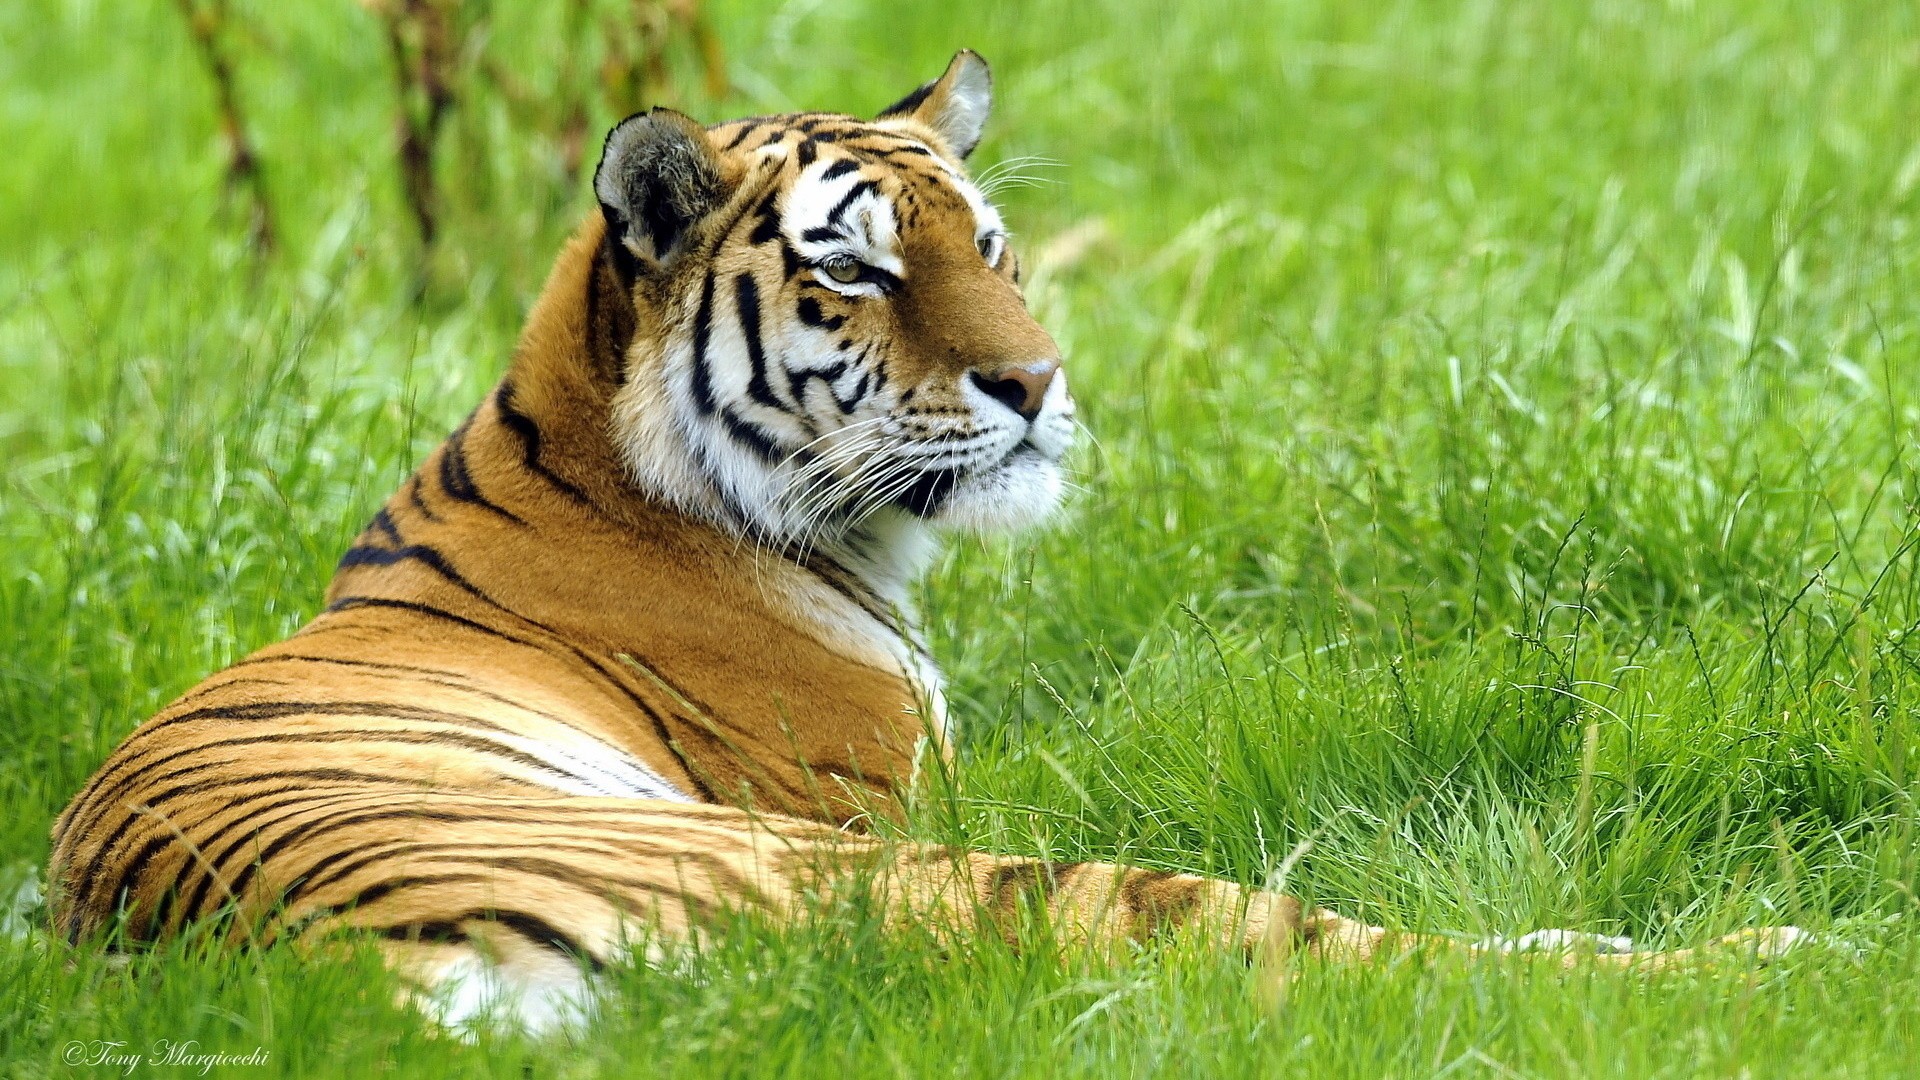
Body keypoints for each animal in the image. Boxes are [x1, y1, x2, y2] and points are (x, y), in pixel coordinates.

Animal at [48, 51, 1803, 1031]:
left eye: (993, 247)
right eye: (858, 270)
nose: (1041, 381)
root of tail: (302, 969)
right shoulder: (898, 802)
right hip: (881, 882)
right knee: (1316, 948)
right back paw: (1757, 957)